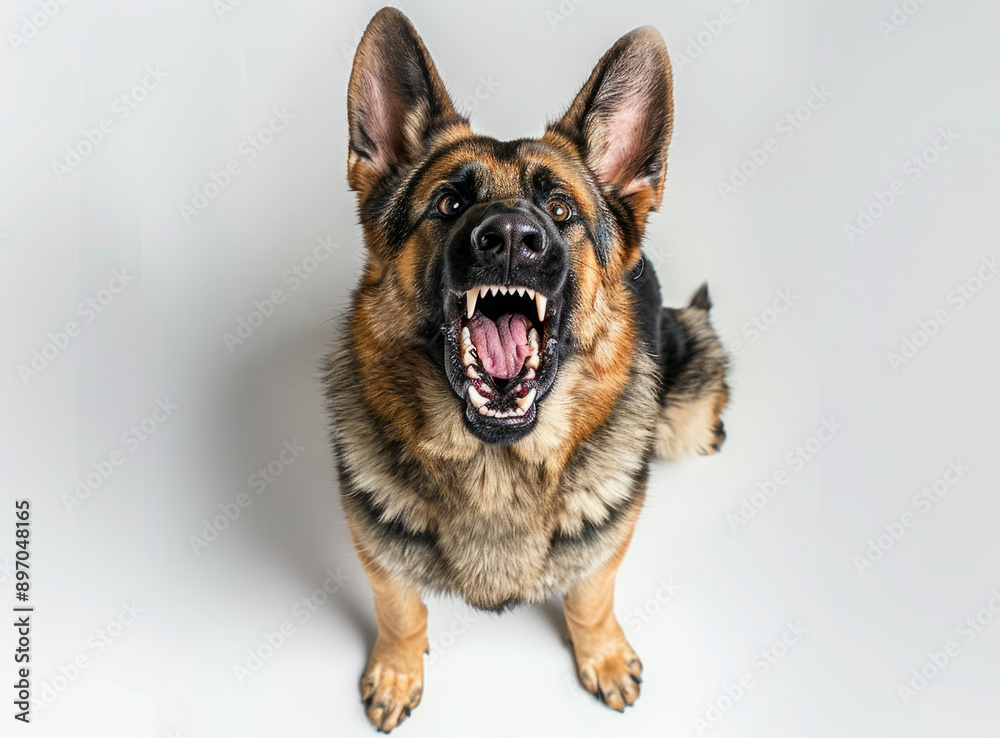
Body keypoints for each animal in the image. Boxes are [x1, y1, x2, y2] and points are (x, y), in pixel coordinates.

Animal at [324, 7, 729, 731]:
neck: (495, 464)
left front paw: (601, 656)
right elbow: (399, 612)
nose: (512, 238)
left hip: (685, 388)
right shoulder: (376, 552)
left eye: (560, 210)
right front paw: (397, 672)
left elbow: (590, 600)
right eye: (450, 205)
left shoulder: (605, 549)